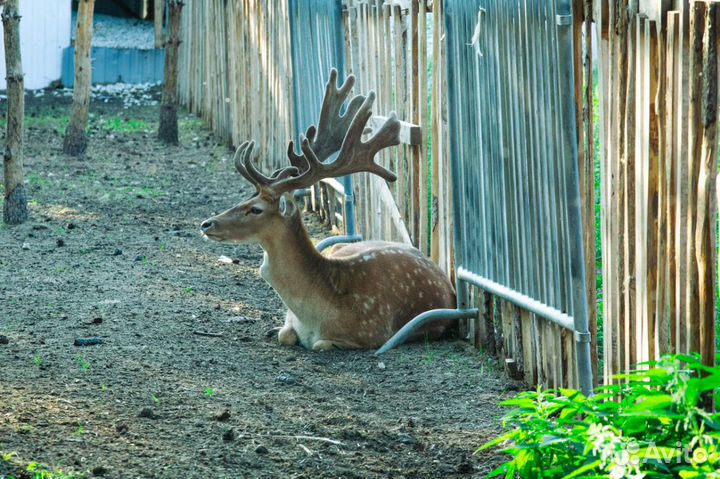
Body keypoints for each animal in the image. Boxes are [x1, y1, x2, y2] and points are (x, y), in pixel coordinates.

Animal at [200, 69, 452, 350]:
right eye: (246, 197)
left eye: (256, 209)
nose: (207, 223)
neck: (315, 313)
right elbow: (285, 334)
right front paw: (275, 329)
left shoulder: (371, 333)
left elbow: (320, 344)